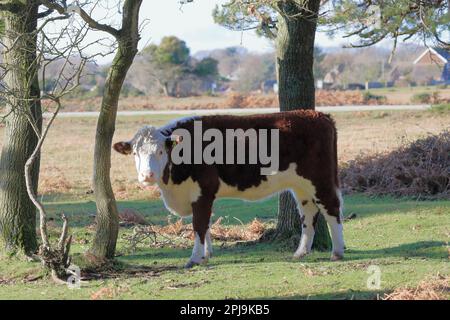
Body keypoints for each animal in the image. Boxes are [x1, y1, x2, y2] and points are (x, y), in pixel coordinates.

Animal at [113, 110, 344, 268]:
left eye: (161, 151)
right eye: (135, 153)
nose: (147, 176)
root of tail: (319, 115)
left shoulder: (203, 191)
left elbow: (199, 224)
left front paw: (195, 258)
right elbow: (205, 225)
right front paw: (206, 255)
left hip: (320, 178)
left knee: (332, 208)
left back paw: (337, 252)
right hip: (300, 185)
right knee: (308, 213)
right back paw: (301, 252)